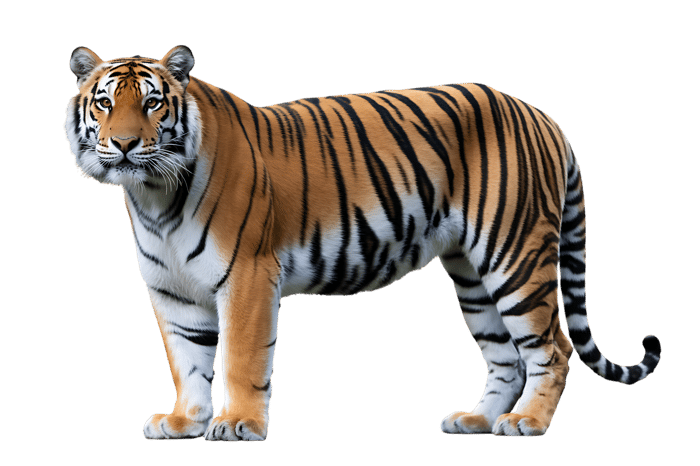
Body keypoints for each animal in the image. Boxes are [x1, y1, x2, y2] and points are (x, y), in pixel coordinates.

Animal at [64, 45, 661, 441]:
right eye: (104, 103)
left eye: (152, 104)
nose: (124, 144)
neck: (153, 197)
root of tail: (542, 115)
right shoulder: (173, 292)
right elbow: (187, 361)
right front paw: (184, 421)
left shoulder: (248, 275)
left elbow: (240, 356)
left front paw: (238, 423)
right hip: (472, 274)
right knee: (504, 356)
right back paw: (476, 420)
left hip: (514, 254)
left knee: (552, 348)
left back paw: (527, 422)